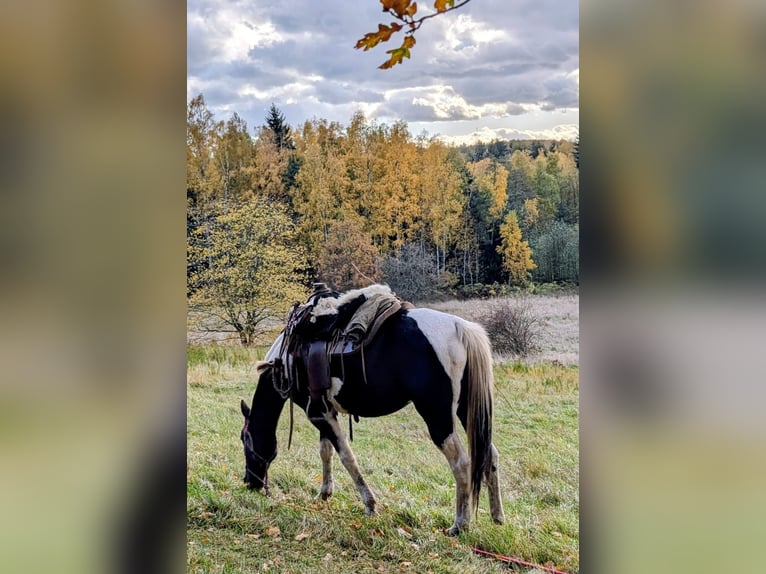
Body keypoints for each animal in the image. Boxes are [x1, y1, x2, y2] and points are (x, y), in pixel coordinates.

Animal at [238, 286, 505, 534]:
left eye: (245, 439)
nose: (249, 482)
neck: (285, 360)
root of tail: (461, 328)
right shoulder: (323, 411)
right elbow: (326, 451)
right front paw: (324, 493)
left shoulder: (317, 413)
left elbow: (346, 456)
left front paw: (370, 505)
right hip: (467, 411)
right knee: (489, 453)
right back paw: (497, 516)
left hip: (438, 417)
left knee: (461, 463)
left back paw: (460, 524)